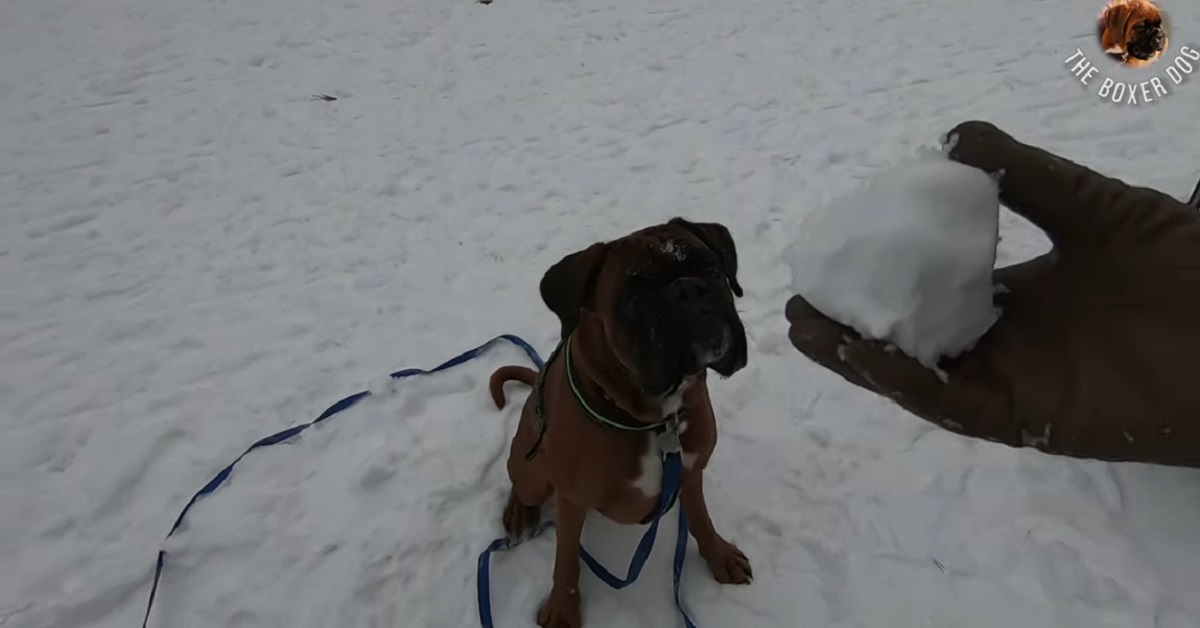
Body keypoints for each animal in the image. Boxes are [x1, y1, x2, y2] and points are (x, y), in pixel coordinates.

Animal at [487, 218, 748, 624]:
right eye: (634, 299)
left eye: (710, 270)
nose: (689, 289)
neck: (655, 420)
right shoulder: (571, 501)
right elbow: (566, 559)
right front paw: (562, 608)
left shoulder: (691, 471)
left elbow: (701, 520)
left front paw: (719, 555)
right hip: (534, 471)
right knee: (521, 482)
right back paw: (519, 513)